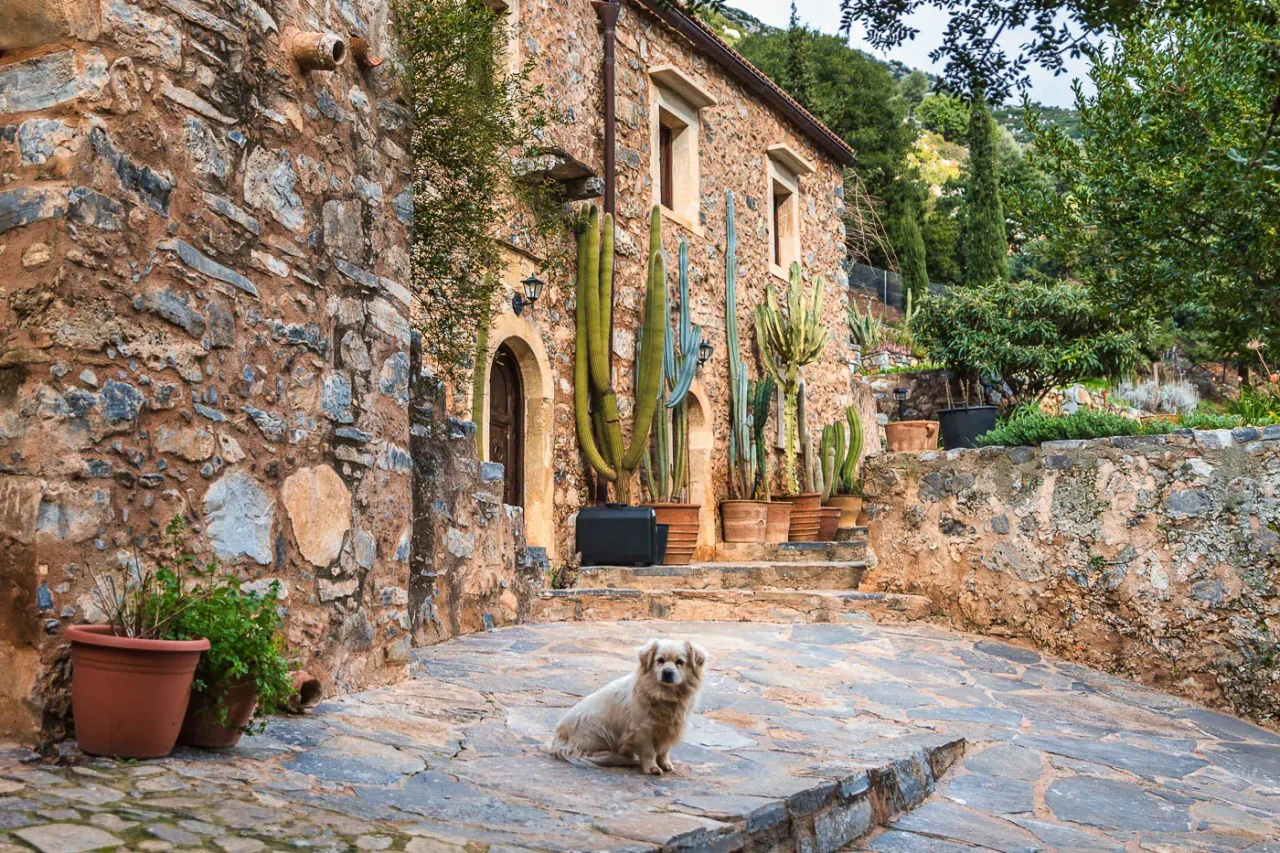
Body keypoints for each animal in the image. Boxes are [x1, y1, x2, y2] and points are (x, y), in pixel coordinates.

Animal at [550, 637, 711, 768]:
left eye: (680, 663)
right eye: (660, 661)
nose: (667, 672)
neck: (664, 694)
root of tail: (556, 743)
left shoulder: (669, 728)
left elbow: (664, 751)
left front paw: (665, 764)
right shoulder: (642, 730)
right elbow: (649, 752)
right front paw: (652, 768)